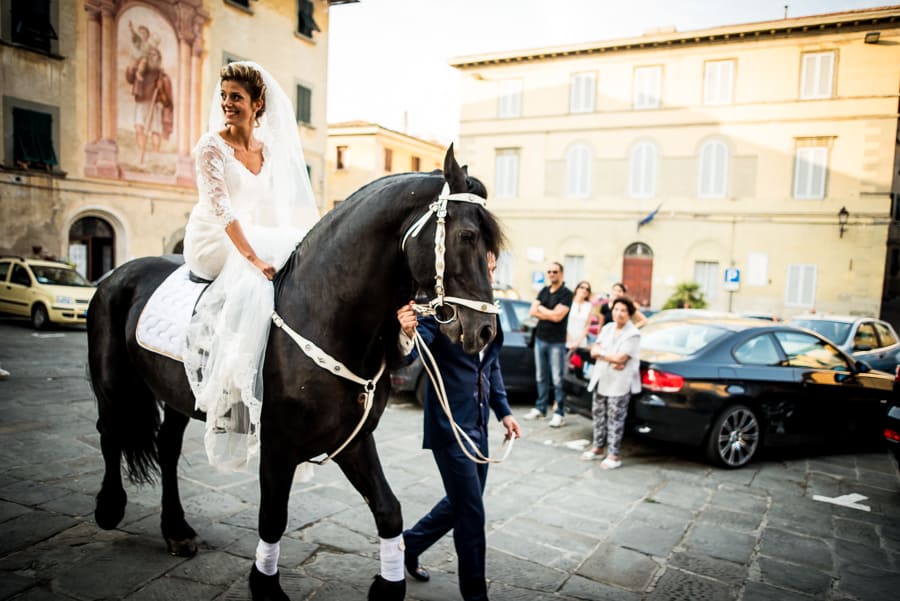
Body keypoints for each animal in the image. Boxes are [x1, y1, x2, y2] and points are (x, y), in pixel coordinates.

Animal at [88, 146, 502, 600]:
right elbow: (273, 518)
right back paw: (110, 507)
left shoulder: (353, 441)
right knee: (110, 430)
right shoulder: (278, 444)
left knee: (166, 446)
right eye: (467, 236)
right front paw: (265, 585)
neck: (325, 313)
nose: (486, 331)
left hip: (182, 393)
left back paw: (176, 529)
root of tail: (116, 274)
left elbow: (388, 511)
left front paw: (388, 584)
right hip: (111, 381)